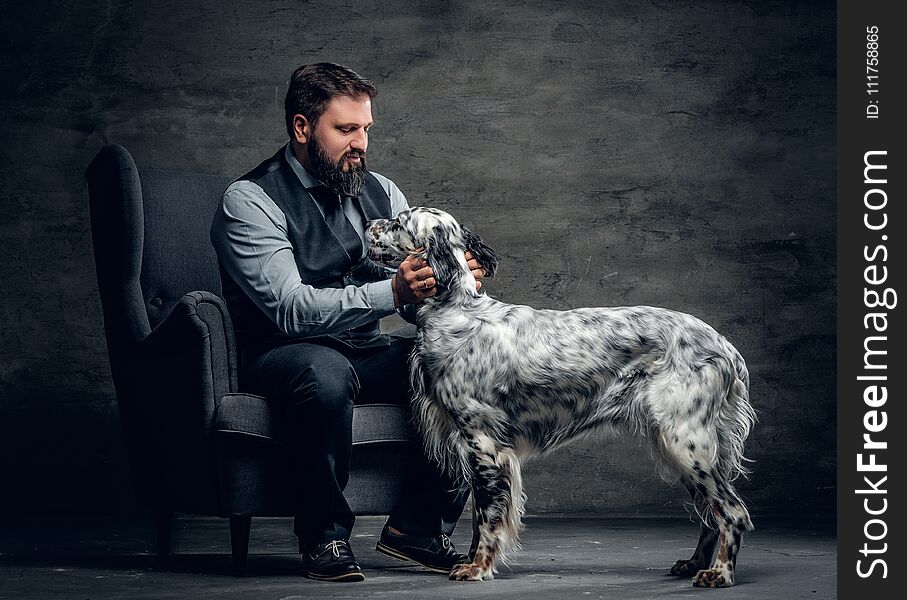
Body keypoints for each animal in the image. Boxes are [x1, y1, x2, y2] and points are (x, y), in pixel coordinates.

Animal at [366, 207, 756, 584]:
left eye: (399, 222)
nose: (368, 223)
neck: (456, 311)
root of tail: (725, 347)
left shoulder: (484, 444)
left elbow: (487, 518)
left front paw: (476, 568)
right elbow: (480, 518)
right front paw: (472, 562)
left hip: (685, 442)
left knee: (732, 511)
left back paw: (719, 574)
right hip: (681, 447)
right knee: (711, 514)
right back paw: (694, 564)